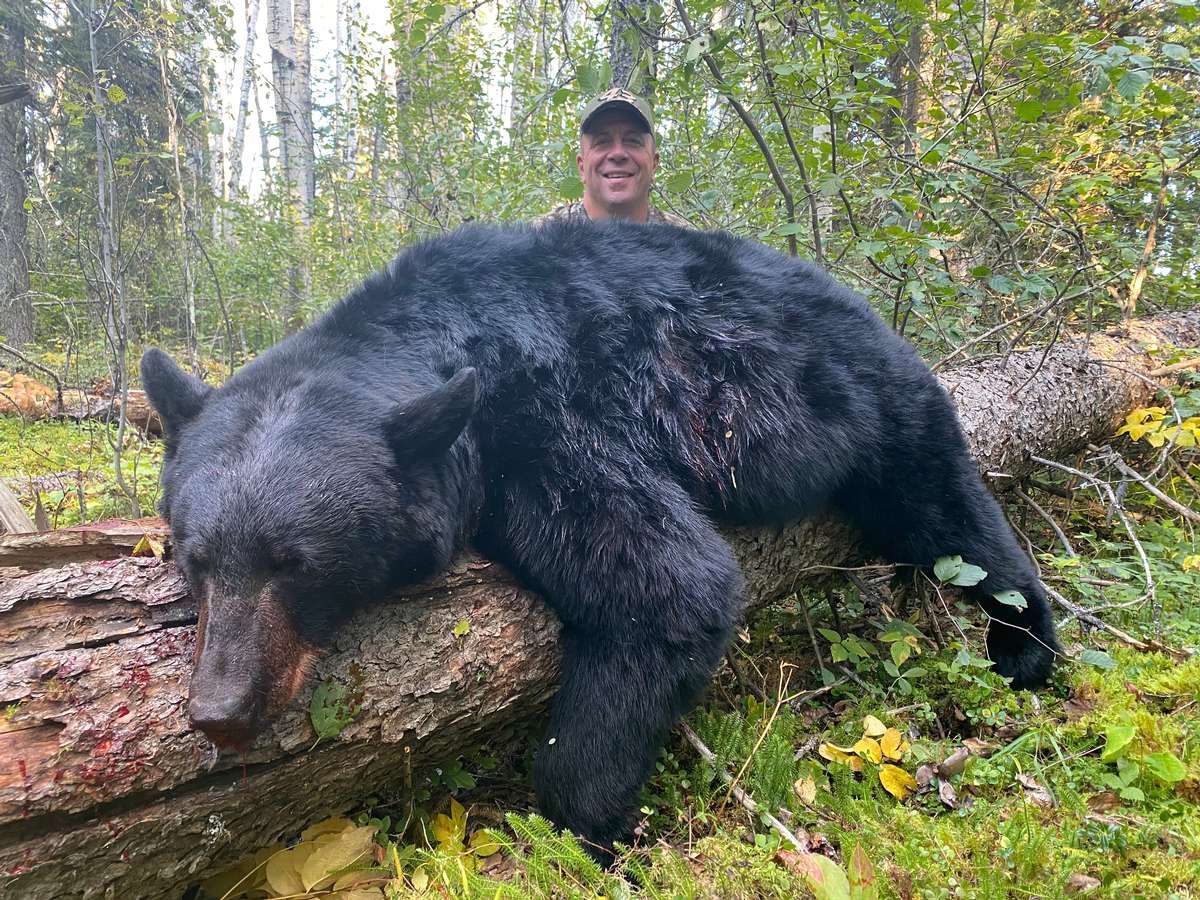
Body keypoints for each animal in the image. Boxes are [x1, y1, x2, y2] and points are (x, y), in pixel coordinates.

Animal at [142, 218, 1060, 854]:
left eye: (296, 565)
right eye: (196, 559)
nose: (219, 711)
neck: (435, 336)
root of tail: (855, 294)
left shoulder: (546, 423)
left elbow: (670, 583)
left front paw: (583, 821)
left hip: (871, 399)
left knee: (951, 515)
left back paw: (1025, 645)